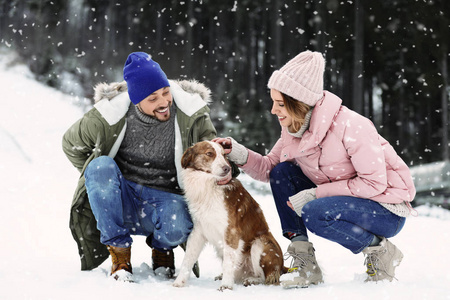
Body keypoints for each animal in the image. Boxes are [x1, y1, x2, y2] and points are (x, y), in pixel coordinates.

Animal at [172, 141, 284, 290]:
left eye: (224, 155)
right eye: (209, 153)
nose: (227, 168)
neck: (210, 184)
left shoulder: (231, 232)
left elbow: (228, 262)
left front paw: (226, 286)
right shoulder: (198, 231)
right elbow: (188, 258)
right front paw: (179, 282)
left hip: (260, 243)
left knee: (267, 277)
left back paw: (252, 280)